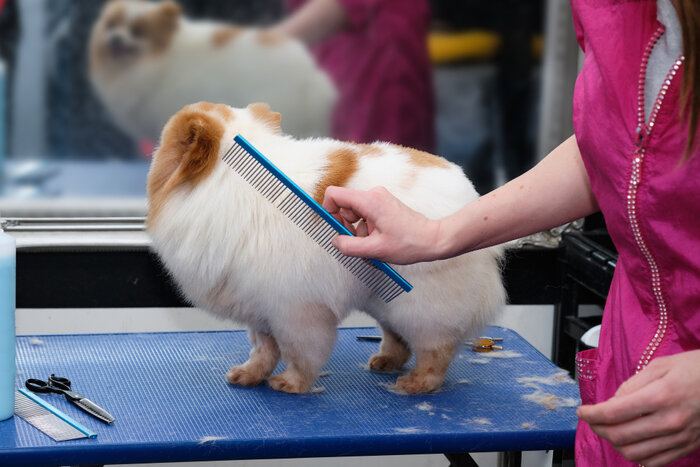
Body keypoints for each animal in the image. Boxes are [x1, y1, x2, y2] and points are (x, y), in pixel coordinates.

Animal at [148, 101, 506, 394]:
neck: (229, 181)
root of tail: (470, 194)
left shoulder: (295, 311)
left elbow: (300, 353)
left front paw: (291, 383)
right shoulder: (261, 307)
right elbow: (264, 349)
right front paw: (250, 375)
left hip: (421, 307)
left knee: (436, 350)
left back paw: (417, 383)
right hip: (384, 301)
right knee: (397, 339)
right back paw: (386, 361)